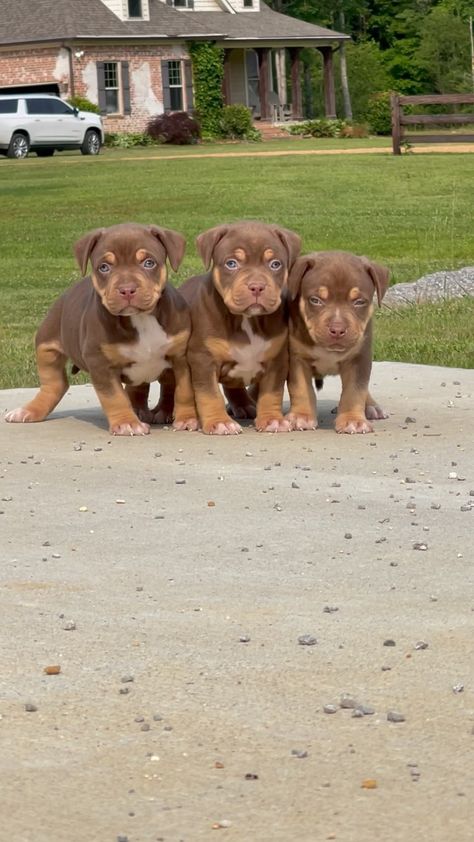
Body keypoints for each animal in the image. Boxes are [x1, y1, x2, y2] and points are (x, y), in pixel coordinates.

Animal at [4, 223, 196, 434]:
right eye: (104, 267)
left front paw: (187, 419)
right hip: (46, 343)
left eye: (149, 263)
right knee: (53, 384)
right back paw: (29, 411)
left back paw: (159, 411)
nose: (127, 289)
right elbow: (114, 397)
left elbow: (184, 390)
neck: (140, 319)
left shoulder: (181, 358)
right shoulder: (100, 363)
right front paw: (127, 423)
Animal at [178, 220, 300, 436]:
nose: (257, 286)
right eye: (231, 263)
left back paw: (244, 405)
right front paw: (219, 422)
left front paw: (272, 420)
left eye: (275, 264)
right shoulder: (203, 359)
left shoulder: (277, 359)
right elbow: (209, 394)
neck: (247, 320)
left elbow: (272, 393)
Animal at [286, 249, 388, 434]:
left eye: (359, 302)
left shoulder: (360, 358)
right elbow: (301, 388)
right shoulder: (296, 358)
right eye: (315, 300)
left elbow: (355, 390)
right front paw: (301, 416)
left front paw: (353, 420)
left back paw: (371, 406)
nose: (338, 329)